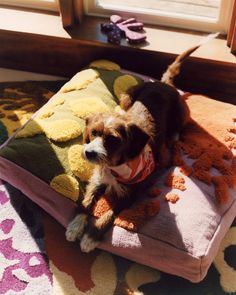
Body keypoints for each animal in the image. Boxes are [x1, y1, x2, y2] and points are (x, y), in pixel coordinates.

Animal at [66, 34, 218, 252]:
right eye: (93, 133)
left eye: (112, 139)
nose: (89, 153)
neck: (116, 166)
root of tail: (164, 83)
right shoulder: (98, 179)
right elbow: (86, 202)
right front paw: (75, 226)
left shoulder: (131, 194)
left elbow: (109, 214)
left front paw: (91, 237)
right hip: (128, 95)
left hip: (182, 113)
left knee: (180, 127)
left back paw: (173, 136)